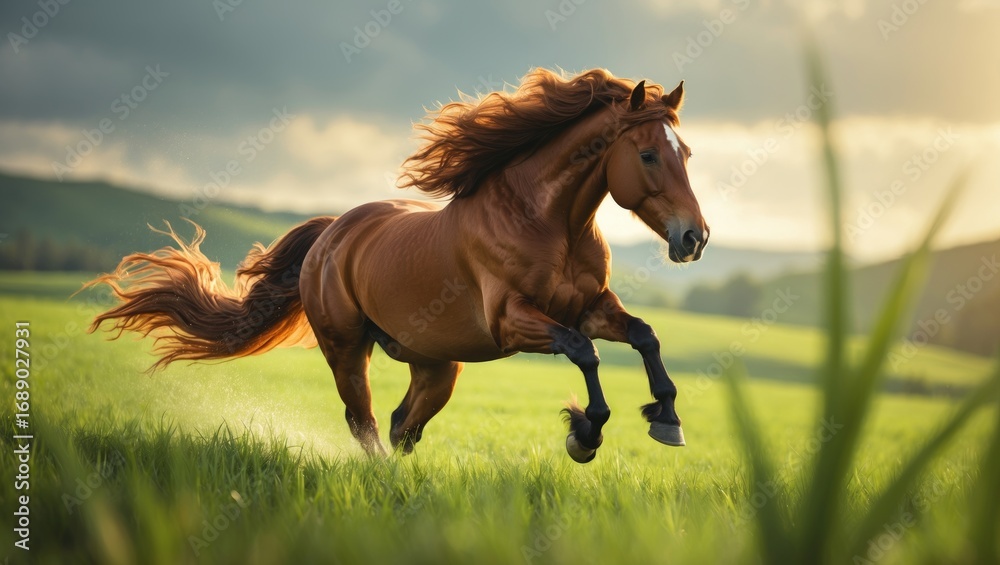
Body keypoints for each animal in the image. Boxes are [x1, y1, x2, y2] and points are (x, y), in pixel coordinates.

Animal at [87, 68, 709, 463]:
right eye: (648, 154)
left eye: (686, 153)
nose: (694, 237)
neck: (549, 223)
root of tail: (331, 233)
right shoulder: (513, 321)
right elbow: (585, 352)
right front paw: (584, 434)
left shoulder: (590, 307)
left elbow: (644, 335)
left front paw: (667, 420)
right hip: (346, 350)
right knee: (364, 421)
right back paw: (381, 480)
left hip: (438, 366)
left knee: (400, 424)